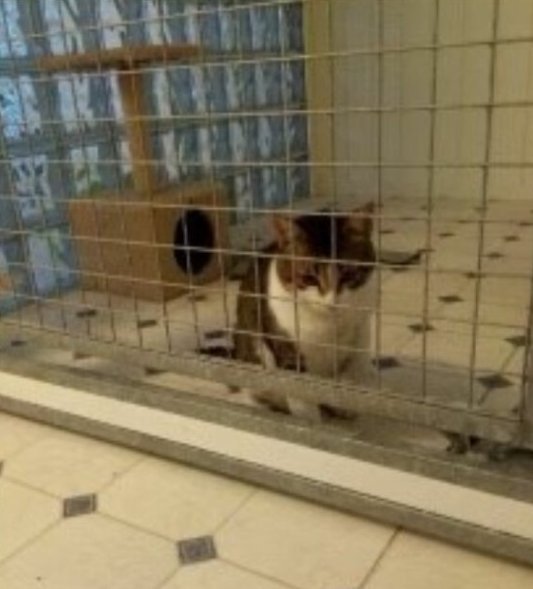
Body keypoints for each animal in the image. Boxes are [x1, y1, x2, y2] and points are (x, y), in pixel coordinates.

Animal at [234, 203, 377, 419]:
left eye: (347, 274)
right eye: (309, 277)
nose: (332, 302)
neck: (328, 327)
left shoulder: (360, 337)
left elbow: (351, 377)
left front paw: (347, 406)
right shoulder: (288, 351)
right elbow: (303, 397)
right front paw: (310, 423)